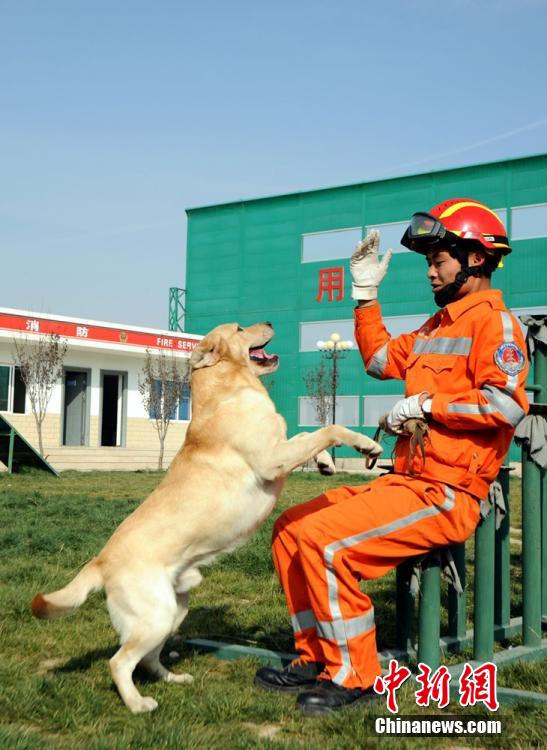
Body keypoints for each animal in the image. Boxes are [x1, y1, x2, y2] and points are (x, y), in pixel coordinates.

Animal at [31, 322, 382, 713]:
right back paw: (138, 703)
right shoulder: (271, 459)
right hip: (154, 616)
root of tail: (100, 560)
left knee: (148, 659)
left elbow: (308, 434)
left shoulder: (280, 448)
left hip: (174, 611)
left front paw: (325, 462)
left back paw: (173, 678)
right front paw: (366, 444)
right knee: (120, 661)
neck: (228, 389)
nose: (270, 323)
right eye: (241, 328)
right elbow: (325, 429)